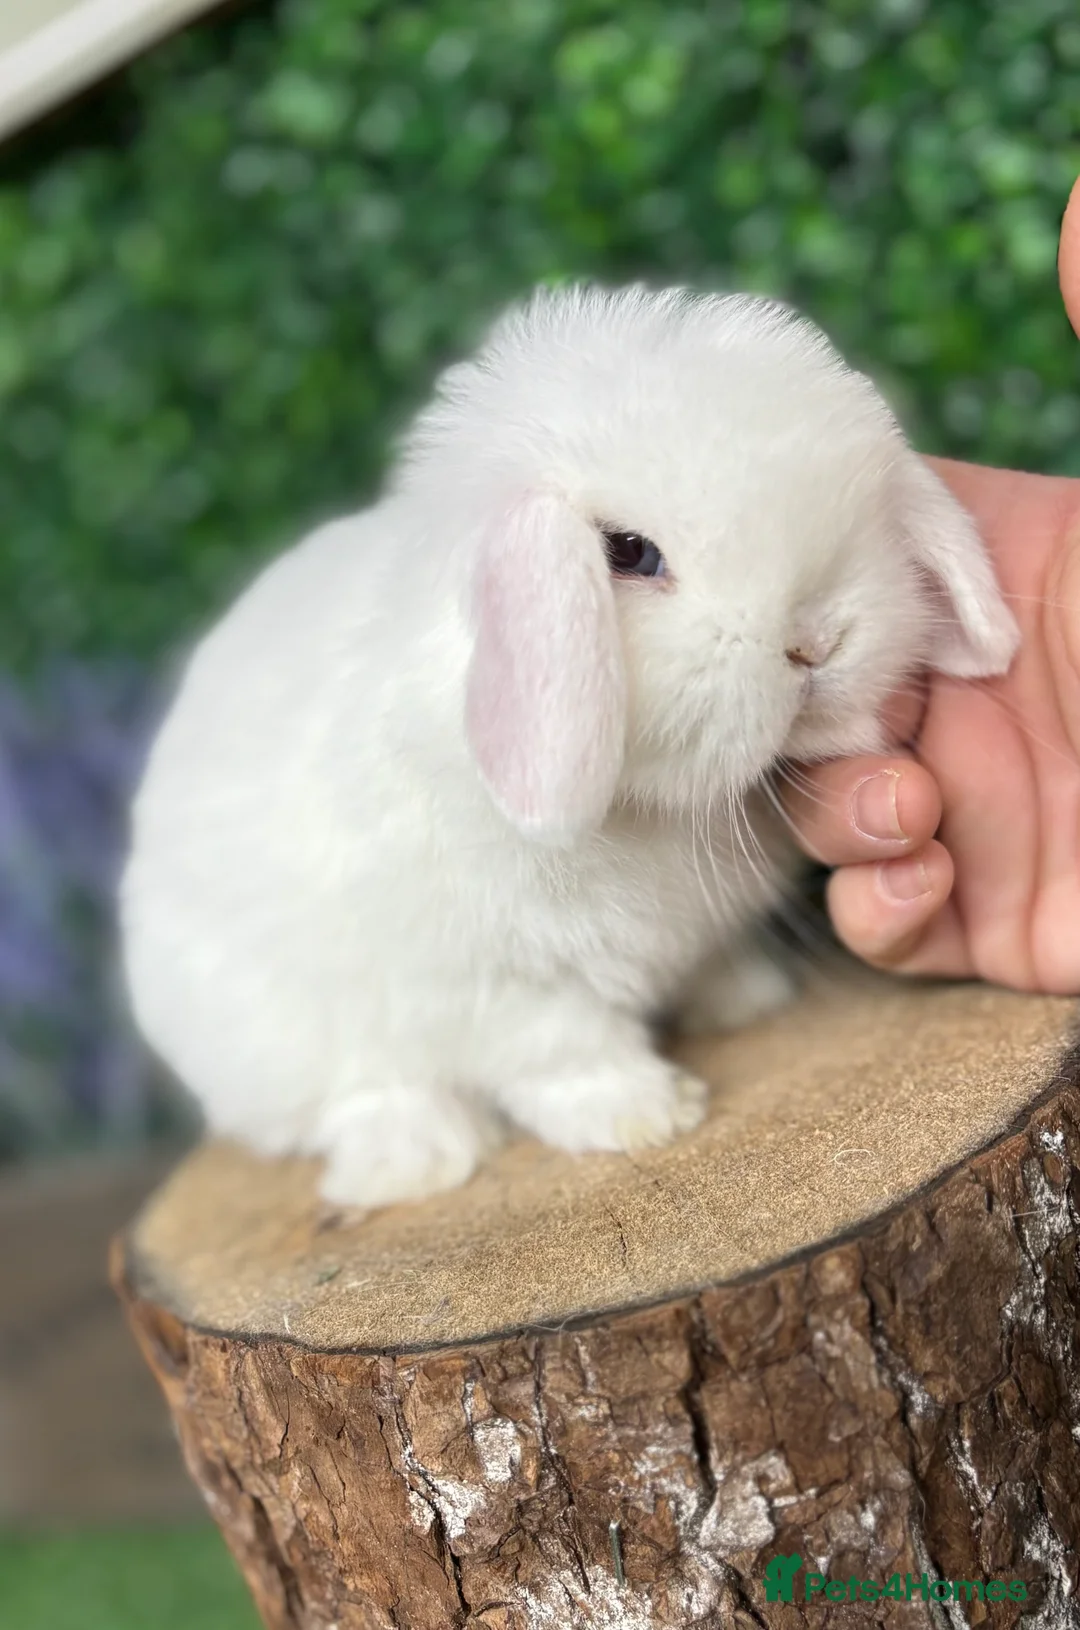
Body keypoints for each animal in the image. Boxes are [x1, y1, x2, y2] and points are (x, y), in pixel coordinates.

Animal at [119, 283, 1020, 1209]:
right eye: (628, 552)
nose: (816, 643)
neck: (642, 806)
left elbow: (709, 966)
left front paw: (749, 1001)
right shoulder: (499, 983)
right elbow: (564, 1051)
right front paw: (649, 1113)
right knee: (360, 1095)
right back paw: (419, 1158)